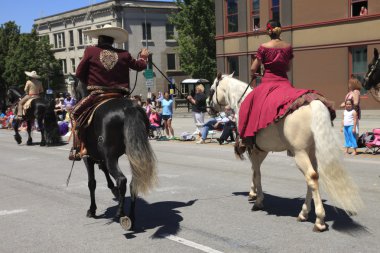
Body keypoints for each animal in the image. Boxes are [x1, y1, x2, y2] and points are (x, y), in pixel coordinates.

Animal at [72, 78, 157, 230]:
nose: (75, 98)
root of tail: (128, 109)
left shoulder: (88, 157)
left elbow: (91, 183)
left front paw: (92, 209)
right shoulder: (100, 156)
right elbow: (104, 171)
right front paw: (113, 190)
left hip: (111, 156)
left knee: (122, 180)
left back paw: (120, 213)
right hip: (133, 154)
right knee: (133, 182)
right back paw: (131, 217)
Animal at [209, 72, 364, 231]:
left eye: (212, 89)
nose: (208, 107)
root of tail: (313, 103)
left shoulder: (253, 149)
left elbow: (256, 173)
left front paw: (258, 200)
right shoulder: (261, 150)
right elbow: (255, 170)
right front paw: (253, 193)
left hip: (300, 153)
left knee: (311, 177)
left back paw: (319, 220)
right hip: (311, 151)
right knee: (314, 176)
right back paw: (304, 212)